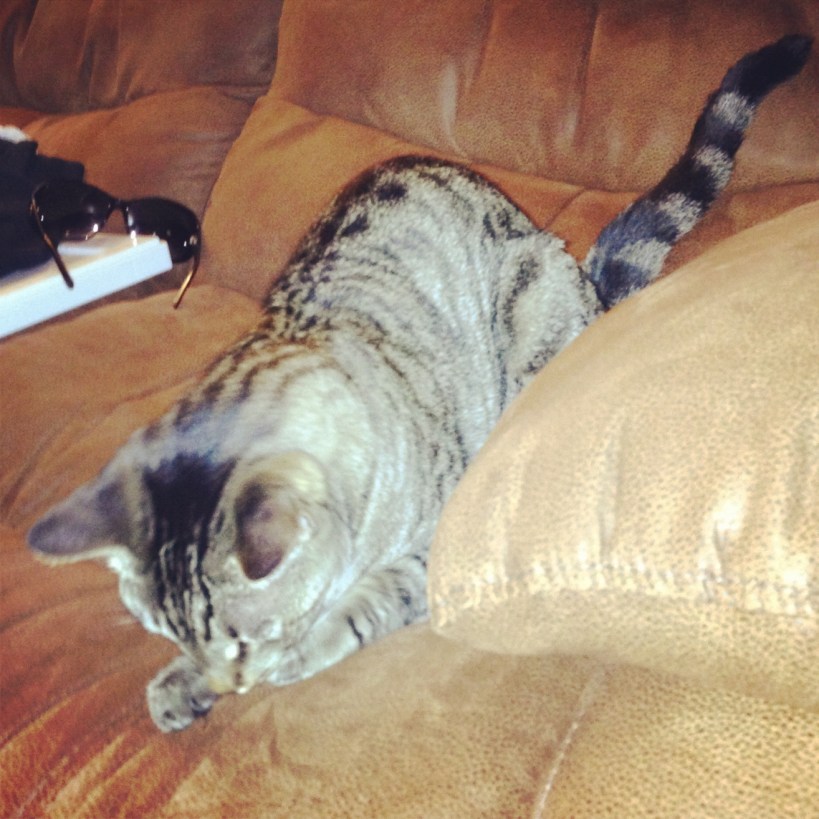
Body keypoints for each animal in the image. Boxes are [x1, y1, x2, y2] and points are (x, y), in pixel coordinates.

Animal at [28, 35, 811, 731]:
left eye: (254, 636)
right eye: (174, 639)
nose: (231, 684)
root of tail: (587, 281)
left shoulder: (431, 545)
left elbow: (364, 601)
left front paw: (305, 645)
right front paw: (182, 684)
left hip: (532, 299)